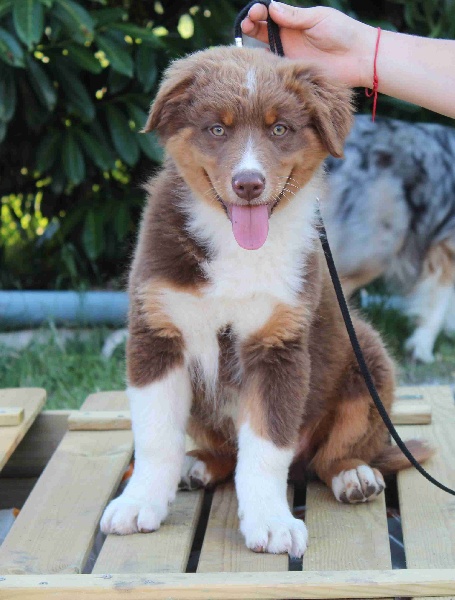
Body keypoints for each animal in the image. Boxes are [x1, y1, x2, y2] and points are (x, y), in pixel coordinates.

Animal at [100, 47, 430, 558]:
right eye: (217, 129)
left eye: (280, 130)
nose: (249, 184)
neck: (235, 244)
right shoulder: (157, 332)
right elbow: (154, 436)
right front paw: (139, 504)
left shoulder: (279, 346)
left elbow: (266, 446)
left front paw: (271, 522)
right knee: (225, 450)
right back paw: (198, 465)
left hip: (369, 360)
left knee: (329, 455)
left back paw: (354, 475)